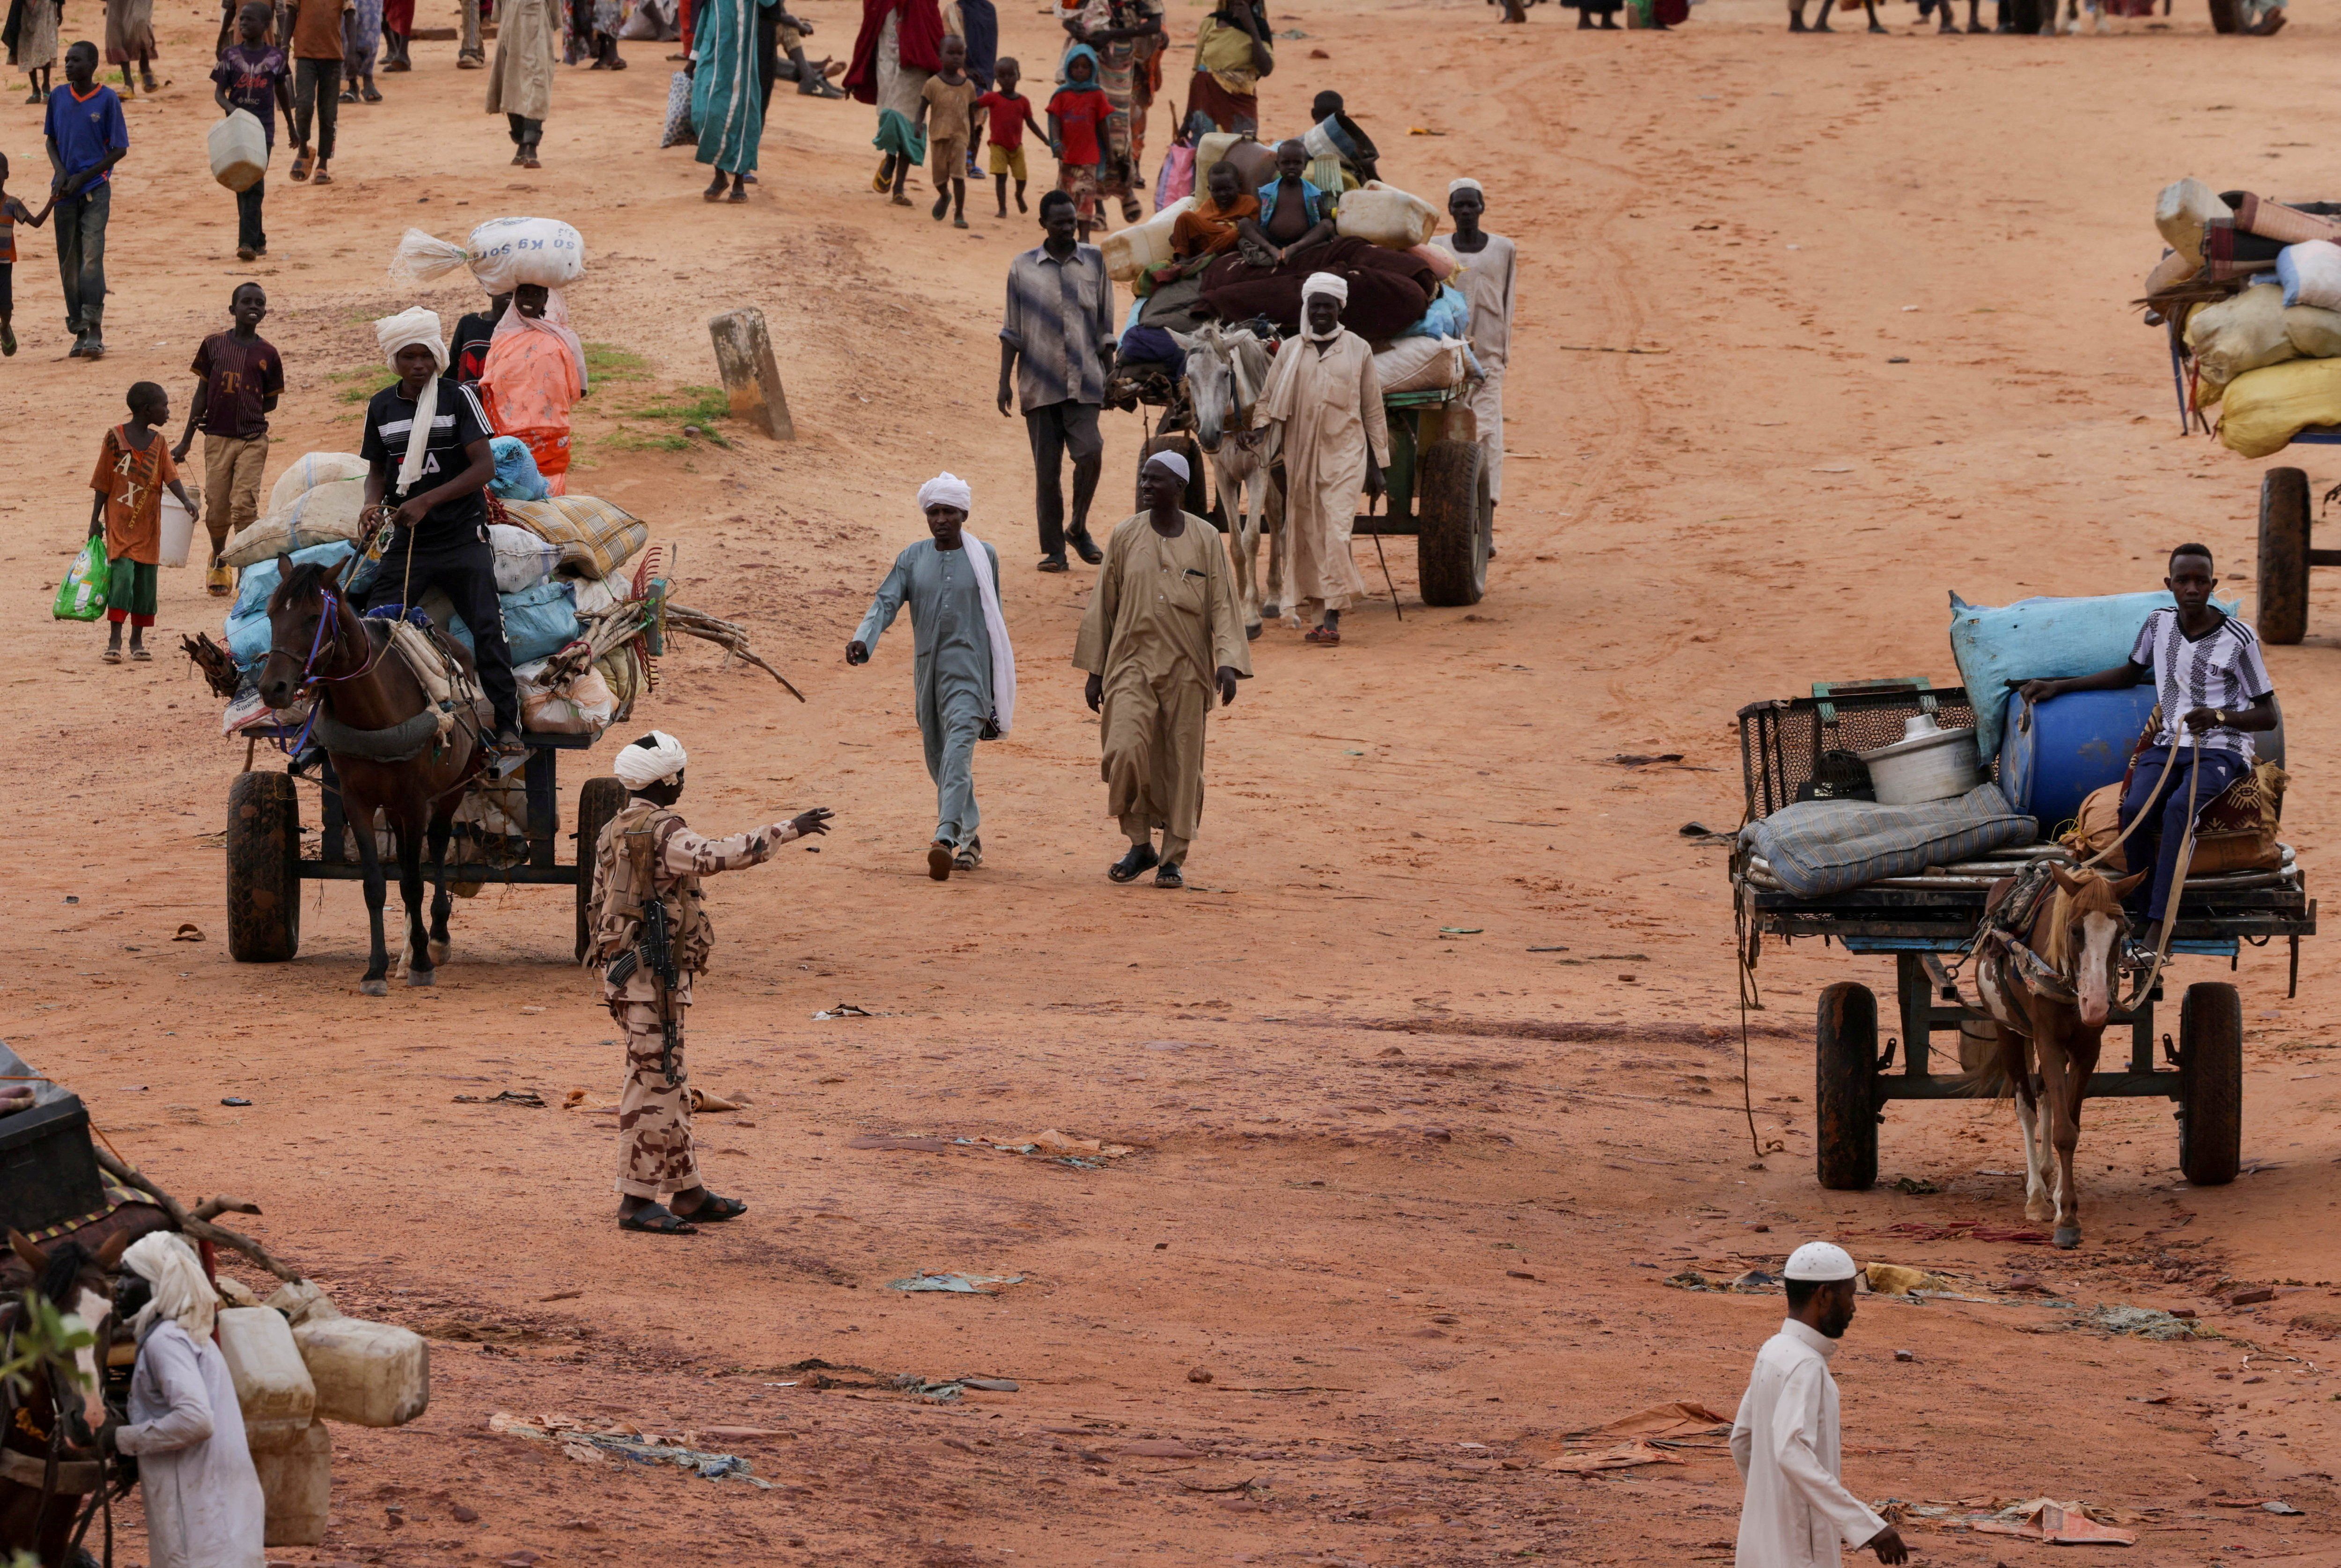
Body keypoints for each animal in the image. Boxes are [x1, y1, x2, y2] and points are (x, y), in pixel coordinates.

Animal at [1180, 323, 1292, 641]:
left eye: (1224, 373)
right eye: (1190, 375)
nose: (1208, 435)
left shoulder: (1257, 473)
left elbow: (1251, 538)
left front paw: (1252, 617)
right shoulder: (1224, 475)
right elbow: (1234, 544)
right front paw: (1241, 604)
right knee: (1276, 517)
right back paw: (1274, 596)